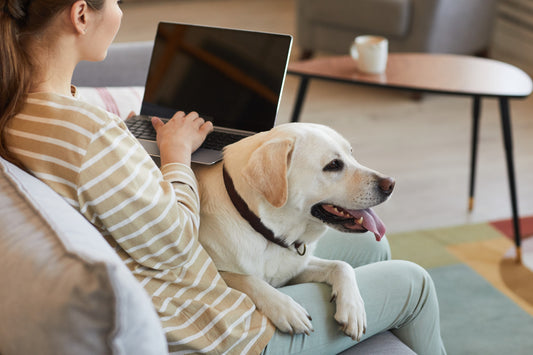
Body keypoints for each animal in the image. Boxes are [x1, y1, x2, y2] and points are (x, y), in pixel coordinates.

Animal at [193, 123, 392, 342]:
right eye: (333, 165)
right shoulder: (215, 272)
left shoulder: (295, 269)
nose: (390, 184)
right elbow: (245, 279)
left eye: (351, 153)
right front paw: (286, 309)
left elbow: (342, 265)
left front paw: (353, 309)